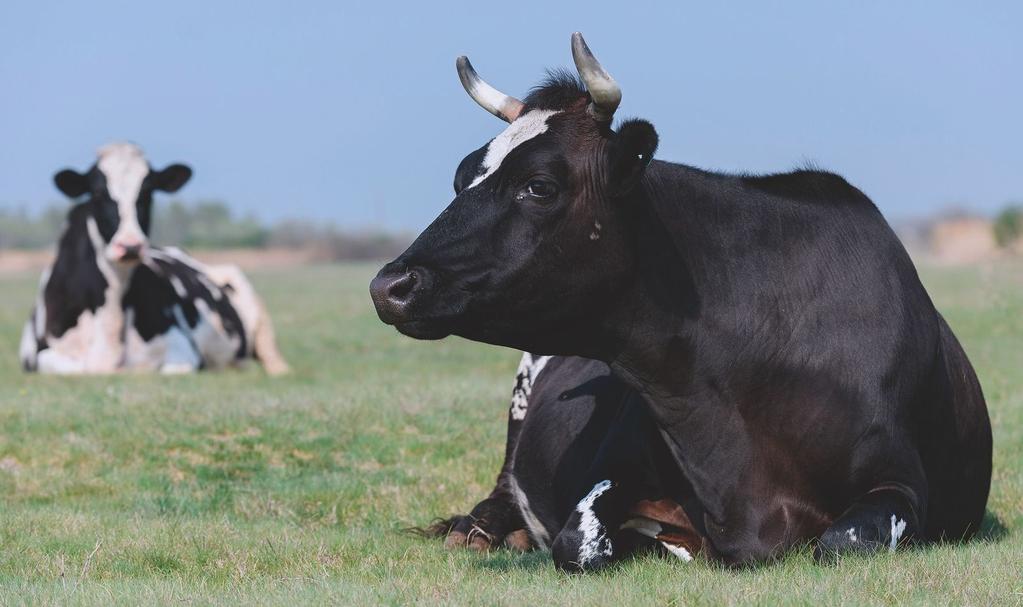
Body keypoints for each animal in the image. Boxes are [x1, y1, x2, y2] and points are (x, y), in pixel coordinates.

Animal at [18, 142, 288, 374]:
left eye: (147, 192)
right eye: (97, 192)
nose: (130, 246)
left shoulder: (184, 351)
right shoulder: (36, 356)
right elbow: (73, 367)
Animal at [374, 36, 990, 569]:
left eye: (540, 185)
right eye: (461, 179)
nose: (389, 284)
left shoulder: (900, 483)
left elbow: (842, 541)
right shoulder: (612, 466)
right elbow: (579, 541)